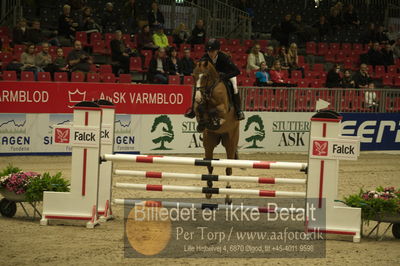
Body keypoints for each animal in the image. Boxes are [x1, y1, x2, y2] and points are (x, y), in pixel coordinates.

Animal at [192, 59, 239, 204]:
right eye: (193, 76)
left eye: (205, 76)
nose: (197, 98)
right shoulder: (198, 109)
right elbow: (200, 110)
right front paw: (203, 124)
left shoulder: (223, 109)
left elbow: (216, 112)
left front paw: (215, 121)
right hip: (209, 143)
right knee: (209, 164)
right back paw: (208, 190)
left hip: (230, 142)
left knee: (228, 169)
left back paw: (228, 197)